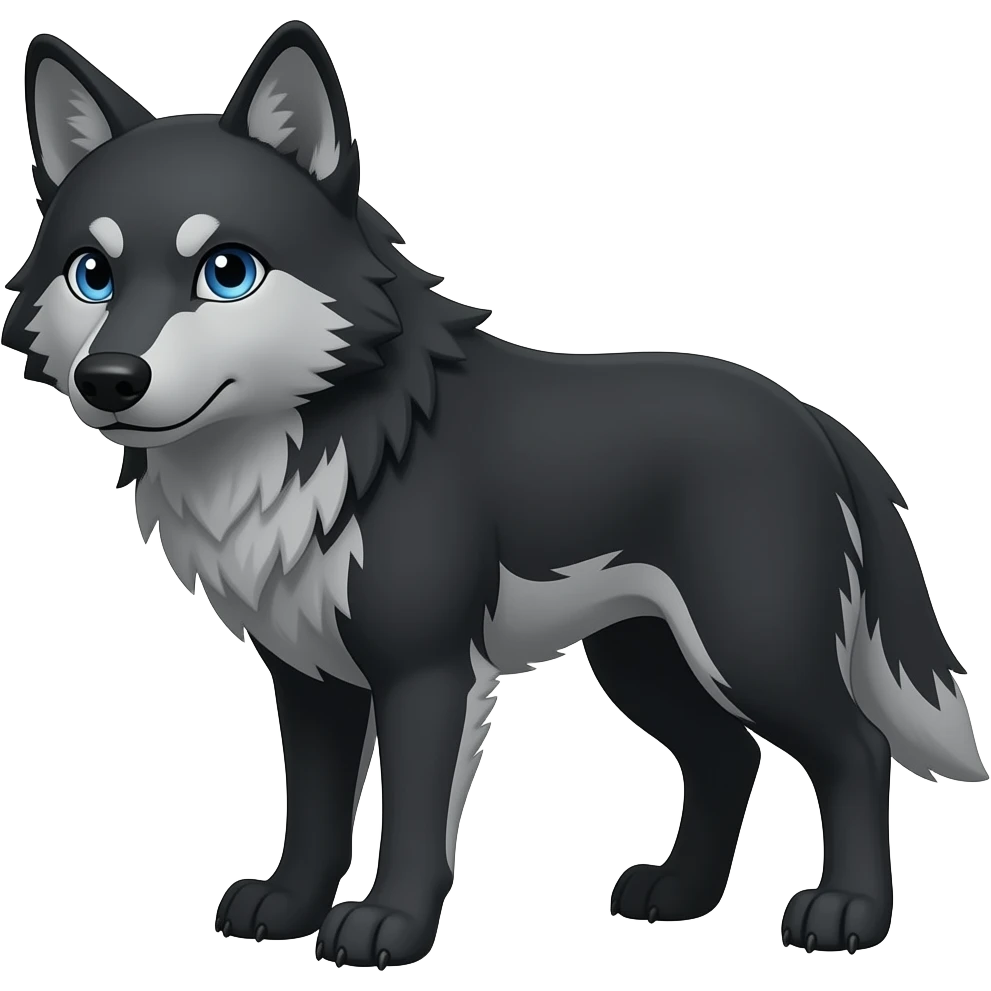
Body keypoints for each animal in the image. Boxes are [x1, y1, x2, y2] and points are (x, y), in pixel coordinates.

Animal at [3, 21, 986, 969]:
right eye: (92, 273)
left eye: (227, 270)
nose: (109, 379)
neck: (313, 444)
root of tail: (811, 417)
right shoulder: (308, 673)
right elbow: (314, 812)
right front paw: (285, 908)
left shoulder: (426, 669)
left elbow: (410, 819)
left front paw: (387, 927)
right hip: (643, 657)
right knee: (728, 755)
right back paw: (677, 895)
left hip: (750, 645)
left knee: (857, 748)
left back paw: (847, 913)